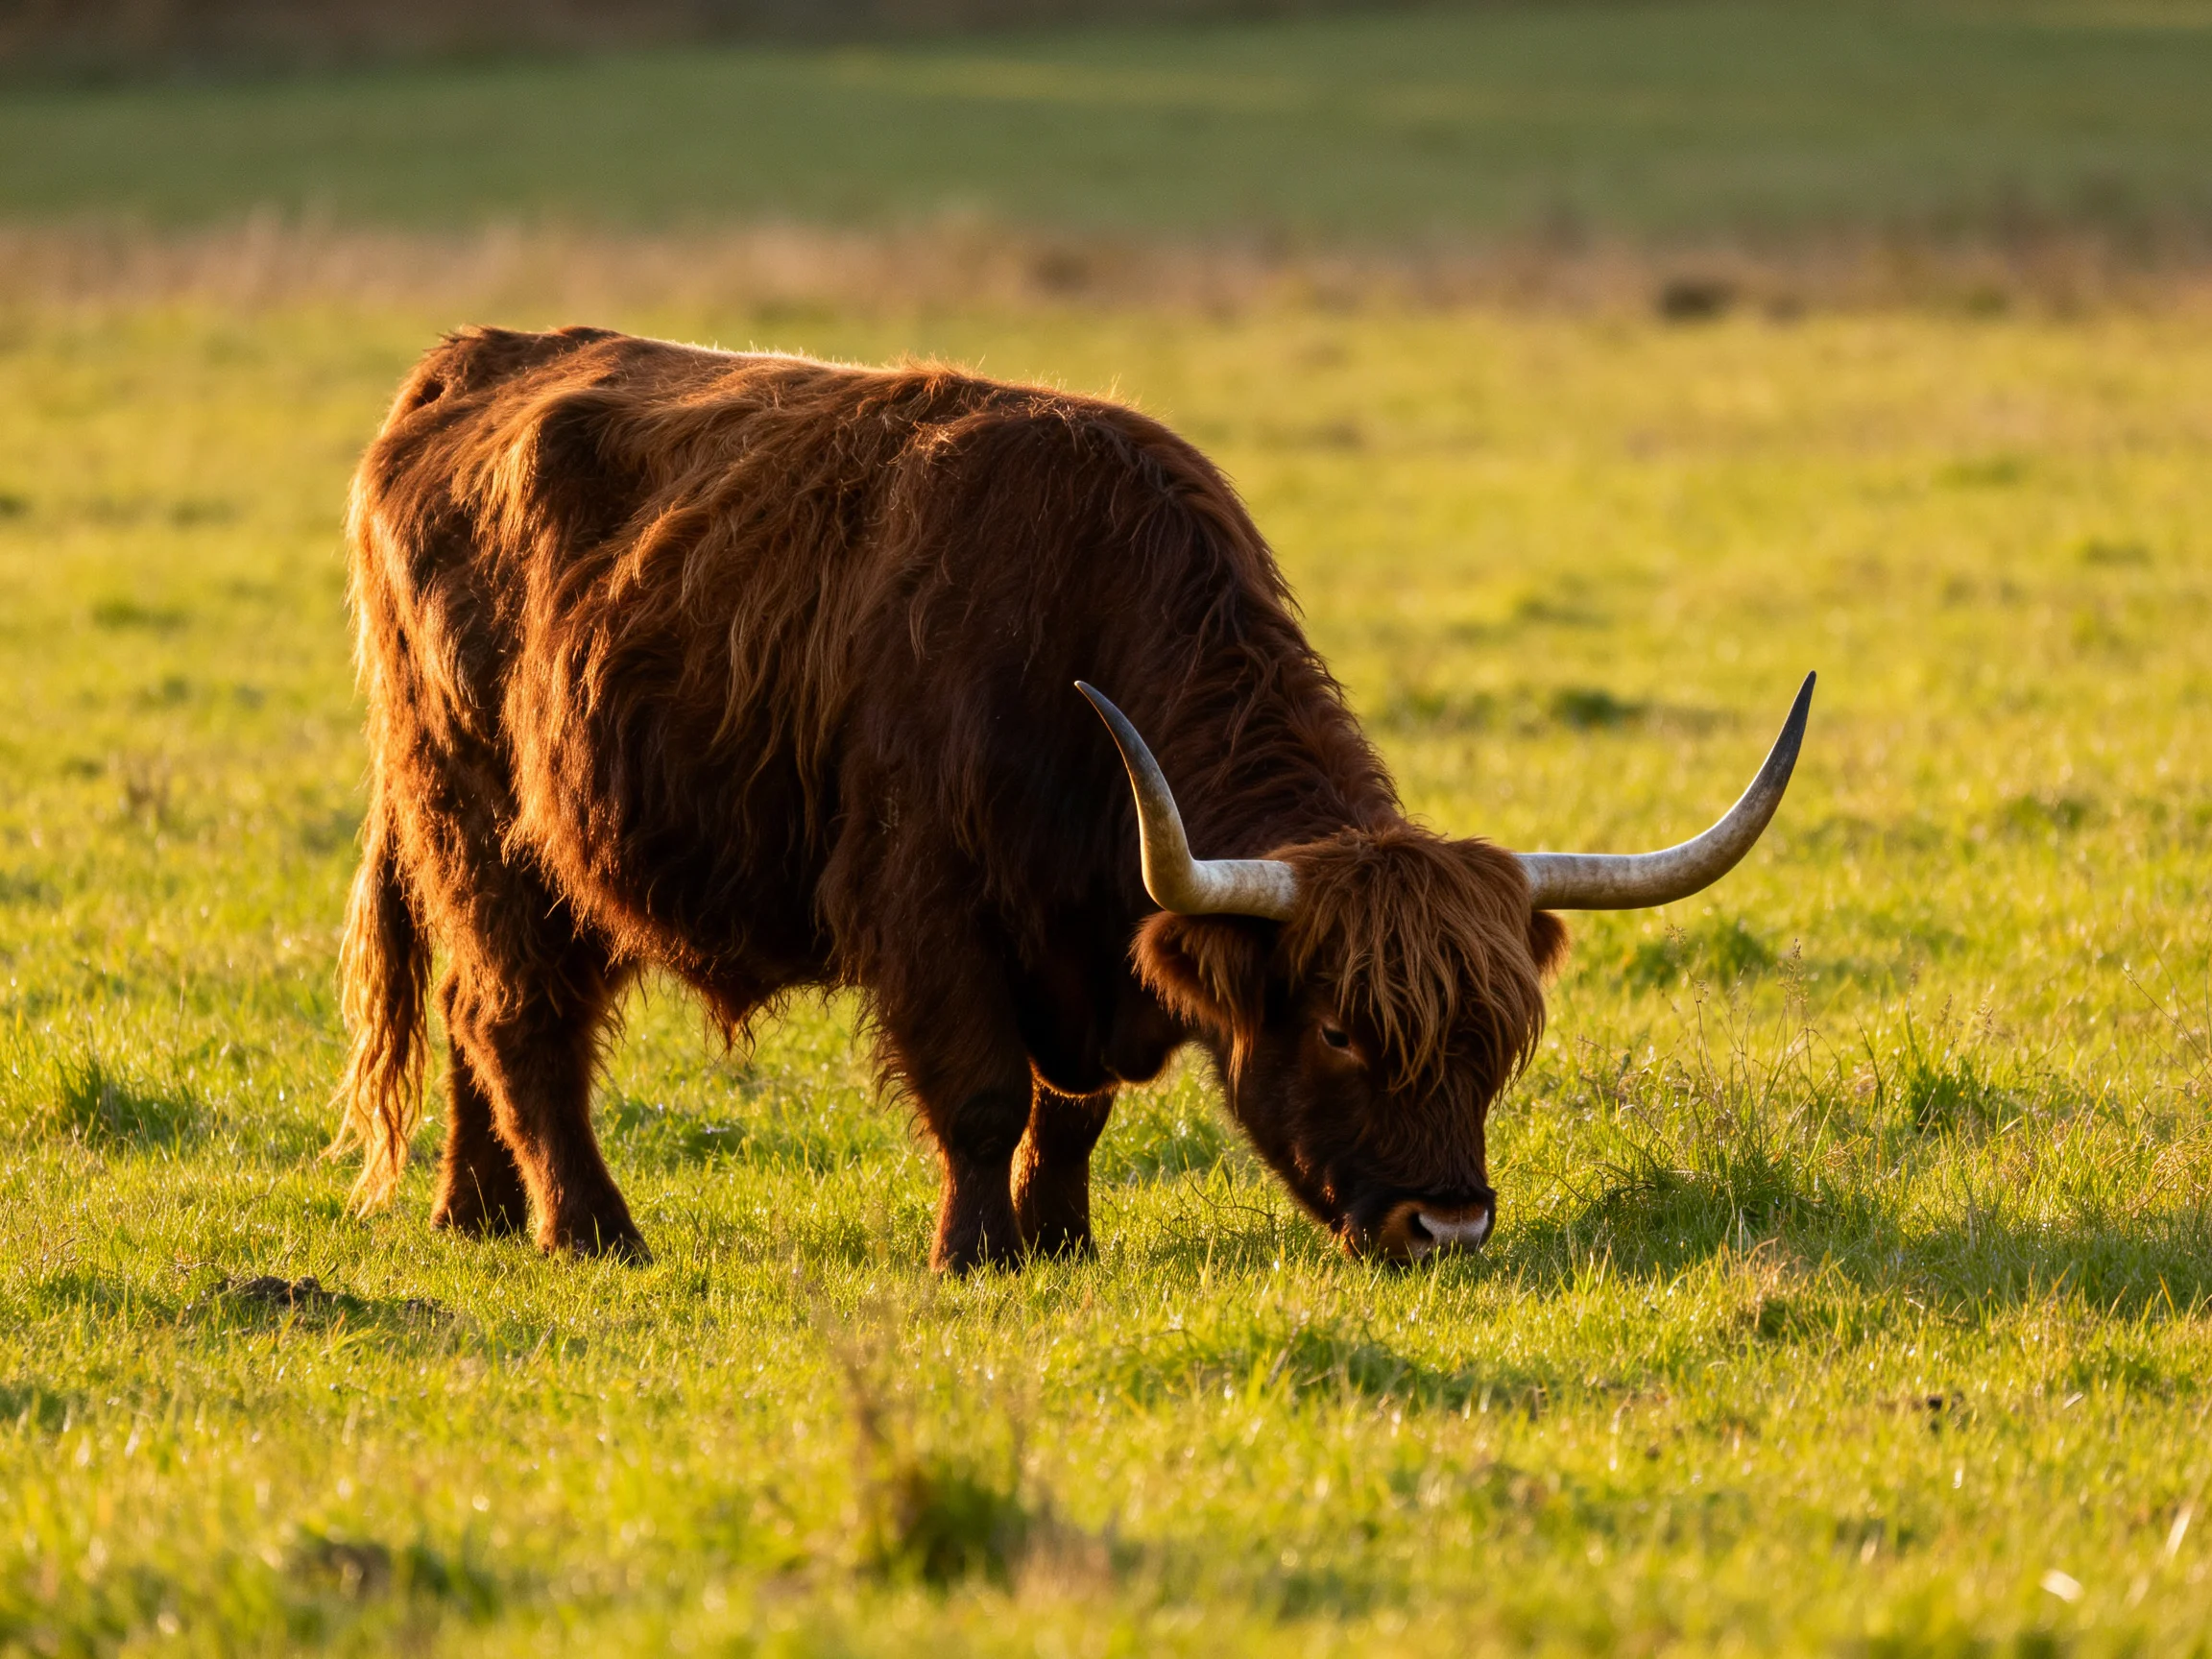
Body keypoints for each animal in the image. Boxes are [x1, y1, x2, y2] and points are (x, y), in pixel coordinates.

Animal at [332, 325, 1812, 1273]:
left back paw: (476, 1212)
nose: (1446, 1227)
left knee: (472, 1009)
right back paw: (593, 1231)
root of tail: (471, 360)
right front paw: (977, 1254)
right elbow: (986, 1093)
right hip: (475, 812)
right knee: (520, 1017)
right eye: (1341, 1031)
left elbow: (1075, 1103)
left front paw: (1063, 1240)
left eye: (1495, 1045)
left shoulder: (1095, 944)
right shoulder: (923, 905)